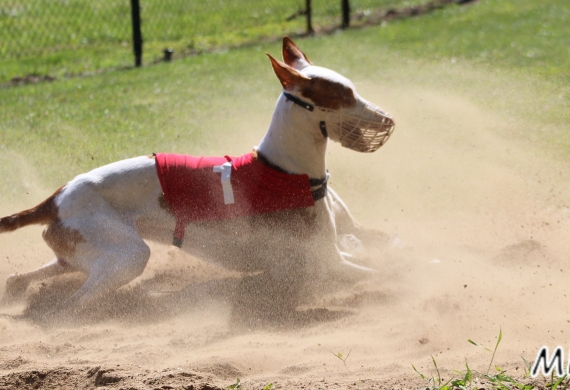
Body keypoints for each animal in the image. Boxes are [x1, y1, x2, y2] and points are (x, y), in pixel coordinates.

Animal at [0, 37, 392, 320]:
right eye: (344, 95)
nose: (387, 118)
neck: (285, 170)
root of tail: (55, 199)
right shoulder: (328, 262)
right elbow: (386, 274)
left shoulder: (339, 247)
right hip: (128, 256)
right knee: (66, 308)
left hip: (78, 255)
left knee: (20, 280)